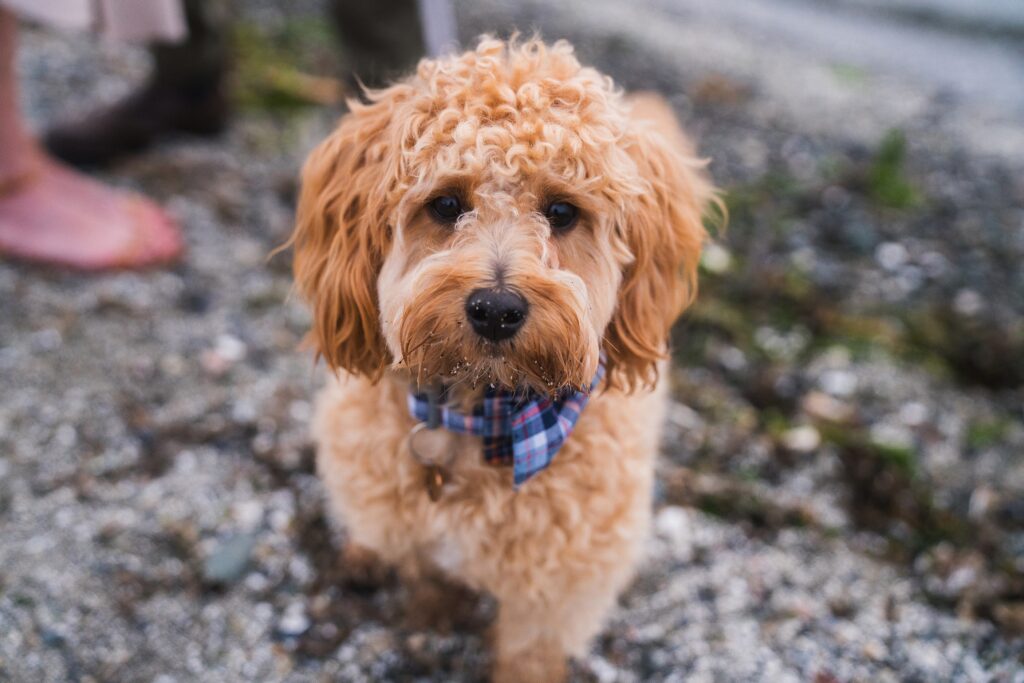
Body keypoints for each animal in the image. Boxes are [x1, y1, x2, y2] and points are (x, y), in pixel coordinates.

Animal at [288, 38, 716, 683]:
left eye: (562, 212)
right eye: (445, 204)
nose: (495, 309)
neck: (484, 412)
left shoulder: (560, 582)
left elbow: (529, 651)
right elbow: (426, 570)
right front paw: (434, 610)